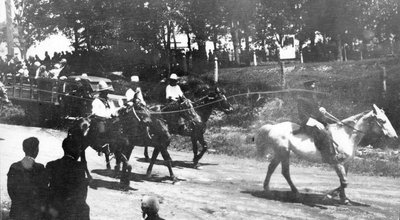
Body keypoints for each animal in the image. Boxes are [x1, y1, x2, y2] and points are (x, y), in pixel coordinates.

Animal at [256, 104, 396, 204]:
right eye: (382, 120)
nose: (395, 136)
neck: (346, 135)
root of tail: (273, 127)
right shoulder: (337, 163)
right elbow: (344, 182)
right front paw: (329, 195)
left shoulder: (346, 164)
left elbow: (343, 181)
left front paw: (344, 199)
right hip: (283, 152)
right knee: (285, 172)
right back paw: (295, 192)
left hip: (280, 153)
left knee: (272, 168)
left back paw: (268, 189)